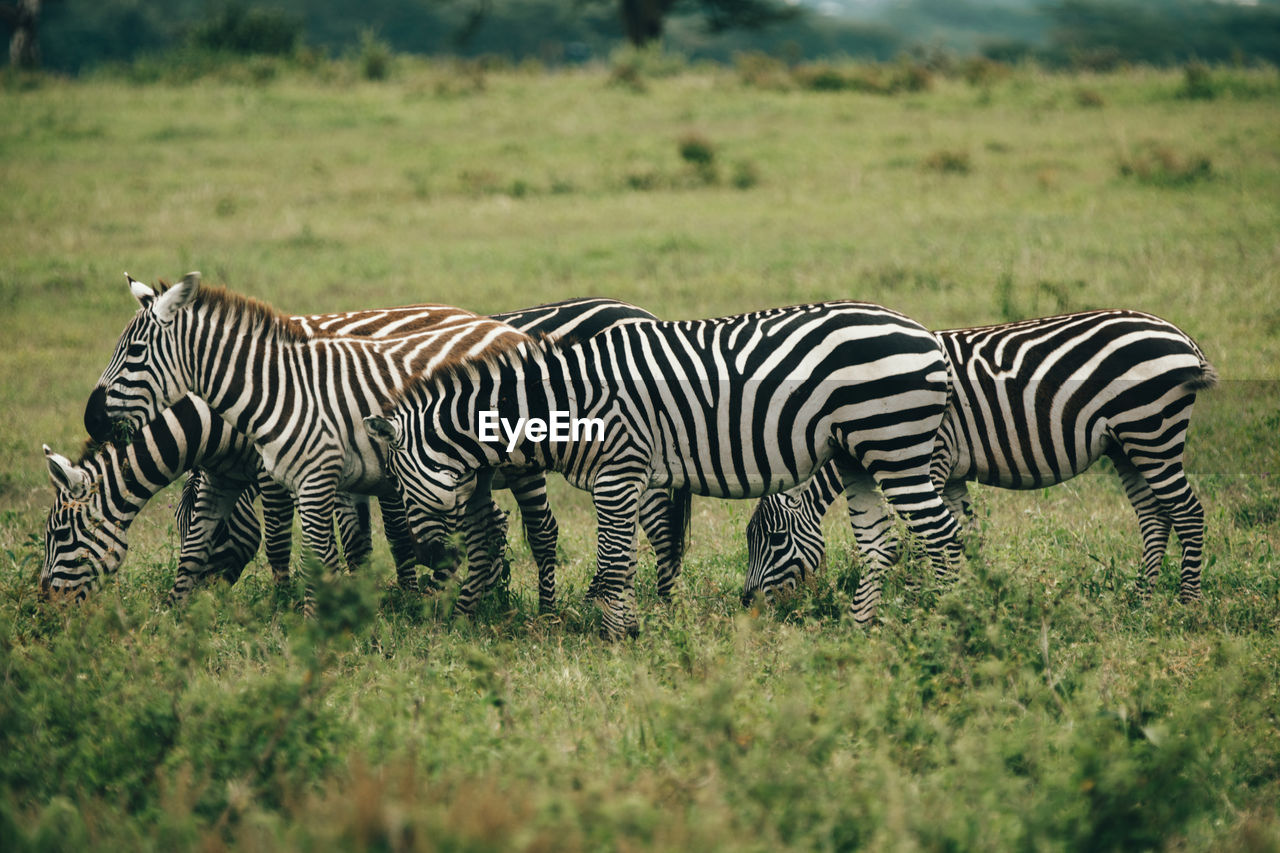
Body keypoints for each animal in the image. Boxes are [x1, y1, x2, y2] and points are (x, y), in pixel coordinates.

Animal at [366, 300, 962, 637]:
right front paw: (626, 626)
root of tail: (926, 334)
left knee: (942, 535)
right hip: (856, 454)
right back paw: (863, 630)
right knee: (881, 543)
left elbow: (614, 563)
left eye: (398, 484)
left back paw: (948, 618)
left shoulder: (618, 471)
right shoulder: (620, 478)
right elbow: (625, 559)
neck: (565, 403)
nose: (428, 564)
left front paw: (617, 636)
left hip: (894, 444)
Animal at [747, 308, 1213, 607]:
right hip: (1126, 444)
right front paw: (976, 599)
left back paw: (1186, 604)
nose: (749, 602)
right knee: (1154, 515)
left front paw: (920, 600)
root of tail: (1182, 338)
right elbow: (965, 536)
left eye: (775, 539)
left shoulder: (928, 461)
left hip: (1151, 430)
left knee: (1187, 511)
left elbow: (924, 538)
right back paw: (1142, 599)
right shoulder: (951, 473)